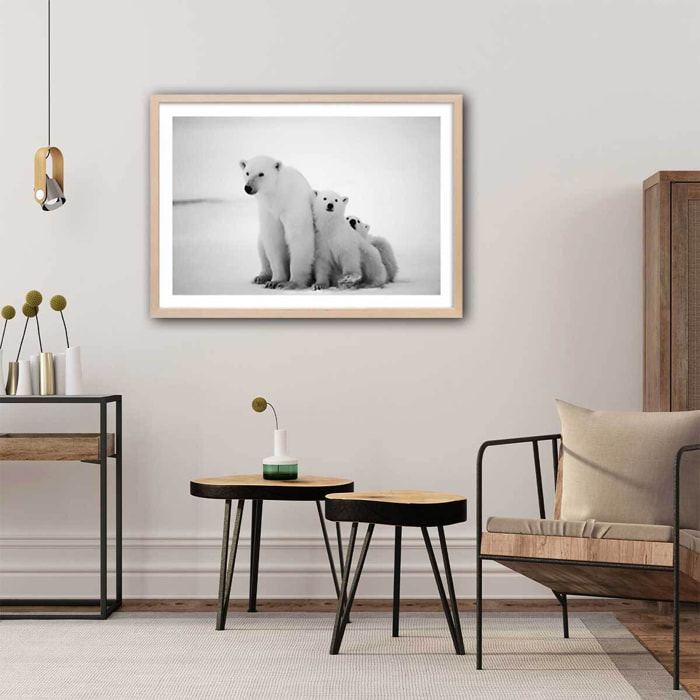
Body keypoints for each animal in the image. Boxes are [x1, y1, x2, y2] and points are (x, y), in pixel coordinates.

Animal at [240, 156, 315, 289]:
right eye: (247, 172)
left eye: (261, 174)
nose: (248, 187)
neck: (277, 195)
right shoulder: (268, 211)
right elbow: (273, 240)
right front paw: (274, 281)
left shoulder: (293, 205)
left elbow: (298, 238)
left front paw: (291, 283)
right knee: (261, 244)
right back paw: (261, 277)